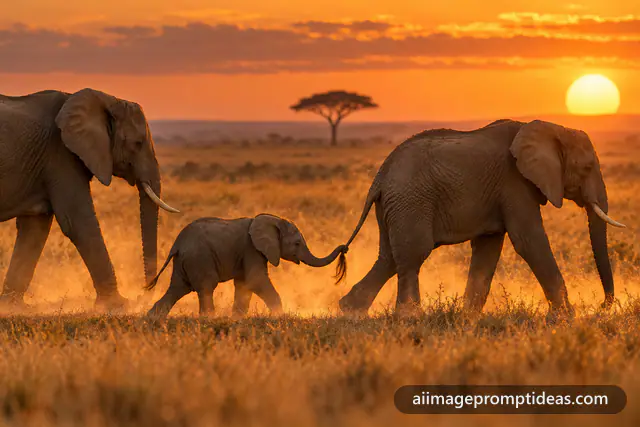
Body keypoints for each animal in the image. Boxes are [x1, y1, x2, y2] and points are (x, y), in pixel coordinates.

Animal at [0, 88, 180, 311]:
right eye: (137, 144)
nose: (142, 293)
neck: (106, 100)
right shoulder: (60, 155)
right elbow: (78, 222)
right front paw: (118, 304)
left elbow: (34, 229)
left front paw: (13, 306)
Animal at [146, 214, 347, 318]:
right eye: (297, 244)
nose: (344, 247)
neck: (271, 220)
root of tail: (177, 244)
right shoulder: (252, 249)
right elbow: (256, 280)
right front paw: (279, 316)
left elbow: (243, 285)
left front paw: (237, 319)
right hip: (200, 258)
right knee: (205, 287)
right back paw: (209, 319)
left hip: (185, 262)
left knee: (177, 288)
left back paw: (152, 318)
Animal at [337, 119, 626, 317]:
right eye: (587, 168)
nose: (602, 306)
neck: (549, 128)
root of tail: (380, 176)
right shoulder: (514, 182)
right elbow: (529, 241)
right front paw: (567, 317)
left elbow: (488, 248)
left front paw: (468, 317)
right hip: (411, 201)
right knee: (412, 255)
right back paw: (408, 317)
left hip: (396, 206)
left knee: (389, 258)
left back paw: (350, 310)